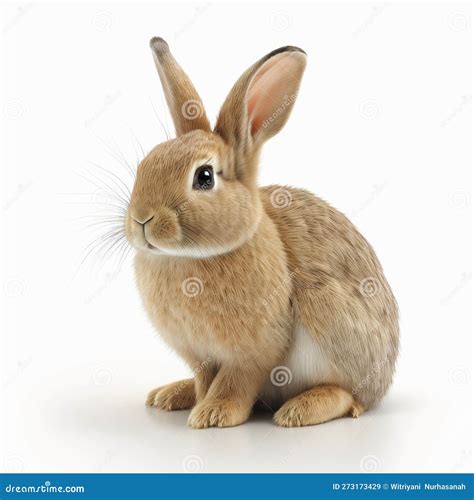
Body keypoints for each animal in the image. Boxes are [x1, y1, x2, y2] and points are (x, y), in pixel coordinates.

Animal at [124, 38, 398, 430]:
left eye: (204, 177)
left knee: (350, 396)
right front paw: (198, 401)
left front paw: (214, 413)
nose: (141, 219)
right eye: (144, 165)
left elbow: (237, 381)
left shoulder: (256, 350)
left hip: (330, 315)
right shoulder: (200, 356)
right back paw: (171, 394)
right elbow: (204, 378)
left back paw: (300, 410)